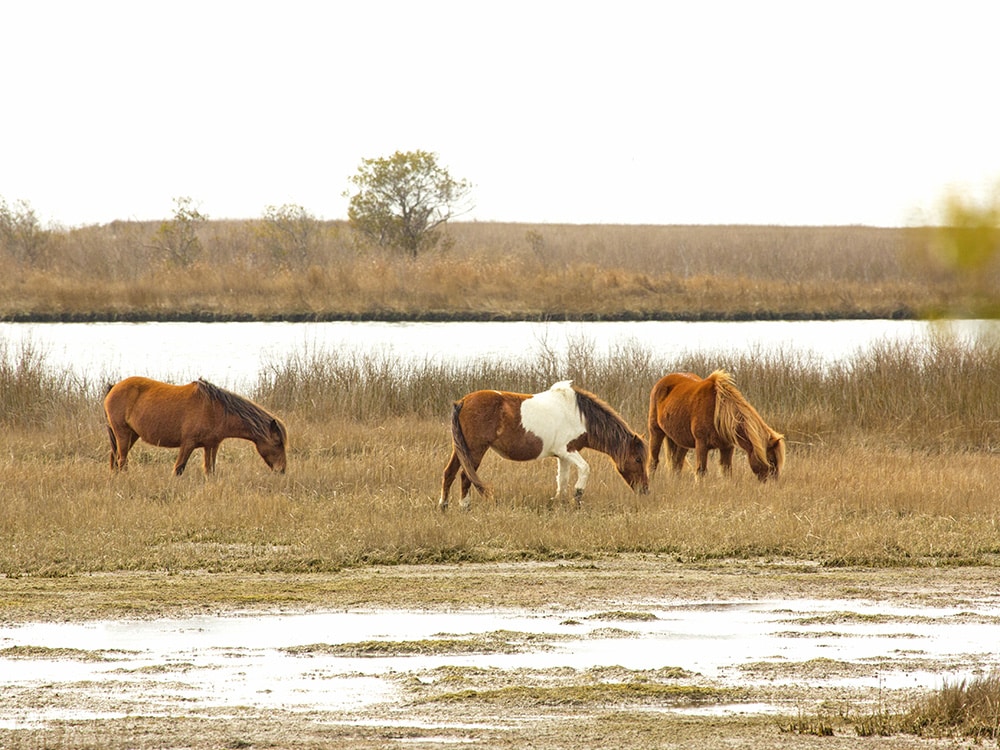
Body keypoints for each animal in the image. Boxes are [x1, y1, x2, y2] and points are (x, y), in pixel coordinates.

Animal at [103, 376, 288, 476]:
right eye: (278, 443)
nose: (282, 470)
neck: (215, 409)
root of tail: (114, 387)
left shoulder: (211, 446)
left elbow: (209, 470)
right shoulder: (188, 444)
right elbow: (178, 469)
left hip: (131, 435)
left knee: (115, 457)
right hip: (123, 433)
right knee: (121, 460)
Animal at [438, 382, 648, 512]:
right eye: (638, 459)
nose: (645, 490)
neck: (579, 415)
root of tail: (462, 401)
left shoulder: (563, 456)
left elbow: (562, 481)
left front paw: (560, 502)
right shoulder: (567, 450)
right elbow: (585, 469)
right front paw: (577, 497)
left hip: (461, 449)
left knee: (449, 473)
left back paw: (443, 506)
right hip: (475, 450)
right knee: (465, 475)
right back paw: (464, 506)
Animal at [648, 374, 788, 484]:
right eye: (771, 460)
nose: (773, 484)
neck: (718, 412)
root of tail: (662, 381)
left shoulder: (727, 447)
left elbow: (727, 471)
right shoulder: (701, 444)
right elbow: (701, 470)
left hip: (681, 441)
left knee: (677, 464)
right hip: (656, 432)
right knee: (654, 461)